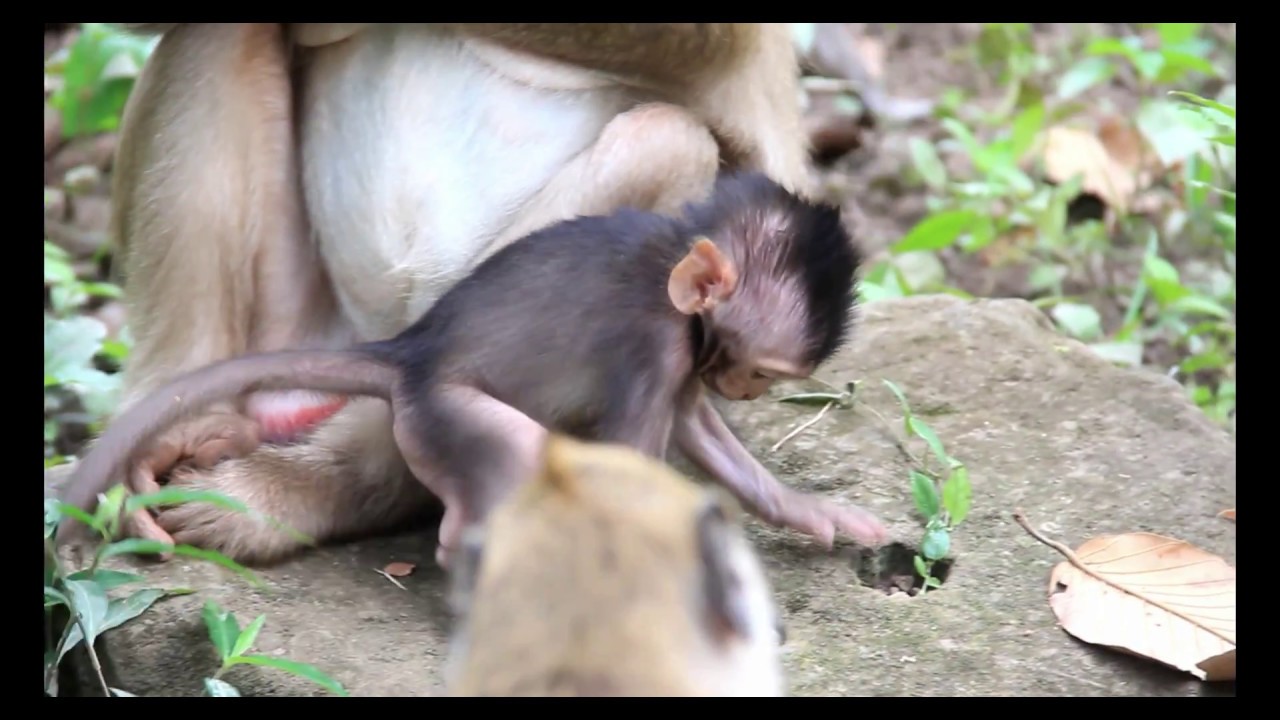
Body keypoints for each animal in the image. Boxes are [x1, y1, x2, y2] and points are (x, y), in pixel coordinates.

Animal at [57, 171, 887, 569]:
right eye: (761, 374)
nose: (741, 386)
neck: (676, 259)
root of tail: (408, 351)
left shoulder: (684, 361)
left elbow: (701, 436)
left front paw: (811, 513)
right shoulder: (656, 344)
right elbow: (636, 462)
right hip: (441, 411)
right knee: (511, 455)